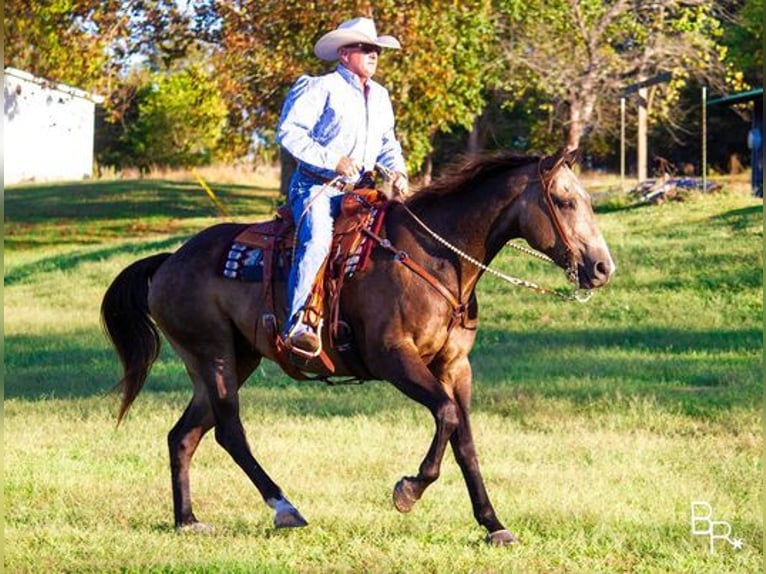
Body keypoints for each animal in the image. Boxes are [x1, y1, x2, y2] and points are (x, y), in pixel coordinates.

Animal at [102, 147, 616, 544]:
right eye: (564, 200)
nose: (601, 267)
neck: (437, 258)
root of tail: (169, 260)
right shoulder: (394, 358)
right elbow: (447, 416)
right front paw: (408, 491)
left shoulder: (454, 366)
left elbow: (465, 442)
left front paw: (493, 524)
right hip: (215, 357)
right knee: (230, 432)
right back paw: (284, 507)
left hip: (231, 360)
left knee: (183, 435)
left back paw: (187, 520)